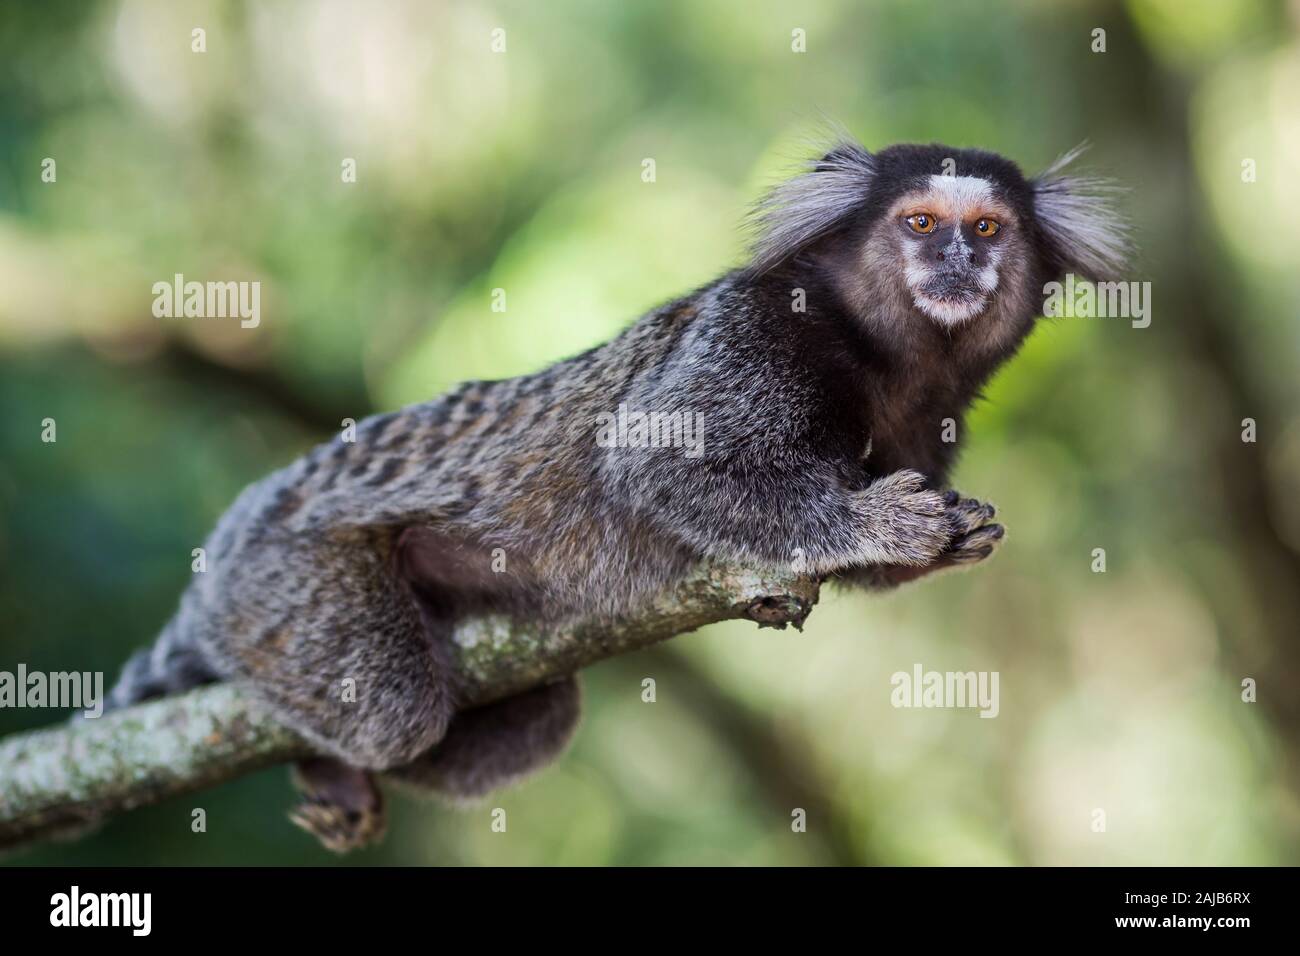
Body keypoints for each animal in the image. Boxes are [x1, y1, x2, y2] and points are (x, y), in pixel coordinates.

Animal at [106, 138, 1128, 848]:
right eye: (920, 223)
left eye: (986, 229)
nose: (957, 261)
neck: (884, 356)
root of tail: (241, 530)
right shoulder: (754, 335)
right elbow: (660, 466)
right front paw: (881, 524)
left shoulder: (930, 416)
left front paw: (947, 538)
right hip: (285, 577)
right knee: (392, 710)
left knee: (537, 718)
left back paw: (334, 778)